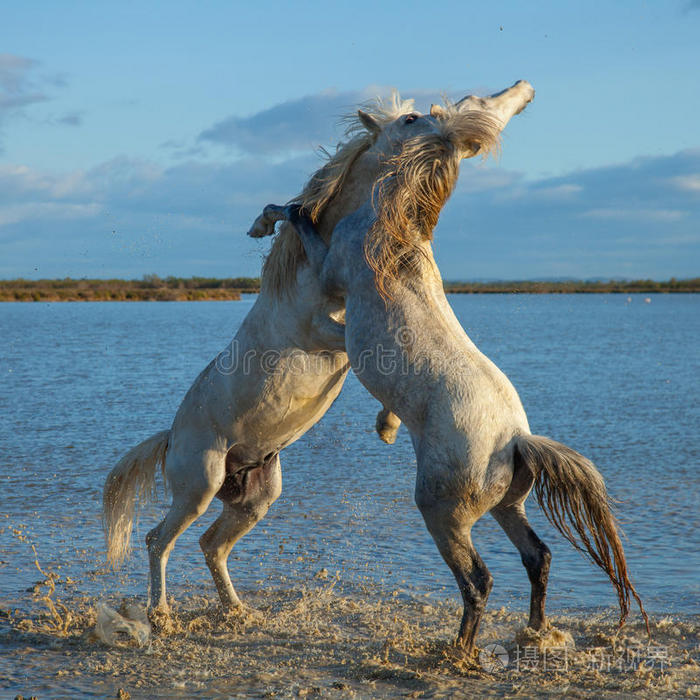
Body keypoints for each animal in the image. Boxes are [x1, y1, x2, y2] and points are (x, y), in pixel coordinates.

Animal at [103, 82, 531, 615]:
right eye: (410, 119)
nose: (450, 126)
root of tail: (170, 438)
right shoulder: (324, 330)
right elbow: (352, 346)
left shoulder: (343, 323)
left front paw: (388, 426)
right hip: (197, 486)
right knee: (159, 539)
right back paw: (161, 613)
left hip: (255, 497)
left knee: (211, 545)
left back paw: (237, 610)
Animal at [257, 87, 650, 655]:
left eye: (409, 117)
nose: (370, 117)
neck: (390, 234)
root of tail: (515, 441)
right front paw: (386, 426)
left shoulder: (331, 271)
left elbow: (298, 220)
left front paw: (278, 213)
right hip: (507, 505)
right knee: (538, 557)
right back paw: (534, 631)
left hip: (442, 513)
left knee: (479, 579)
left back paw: (459, 652)